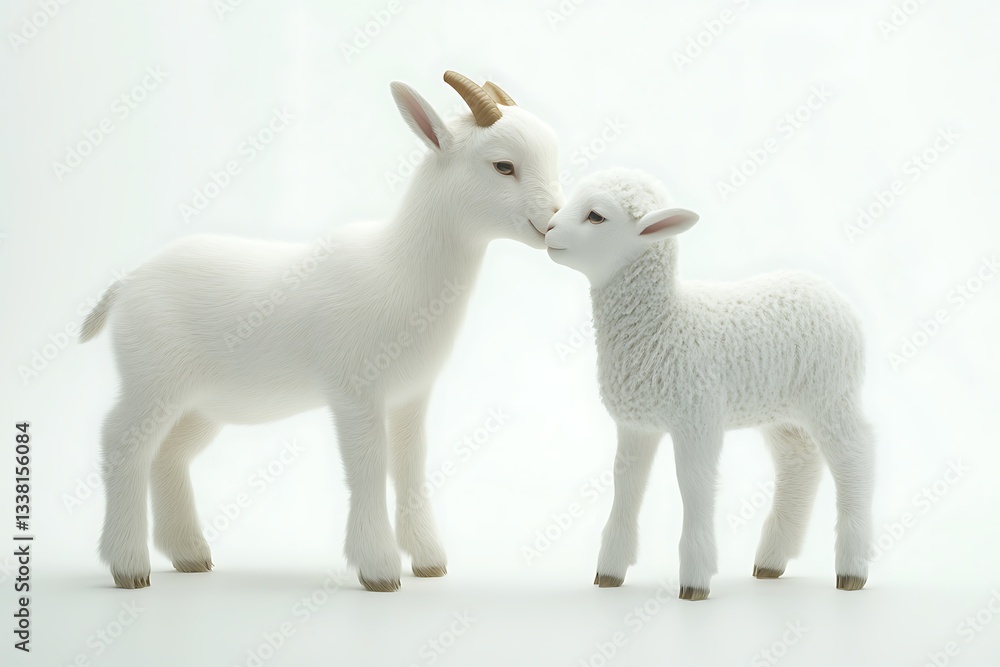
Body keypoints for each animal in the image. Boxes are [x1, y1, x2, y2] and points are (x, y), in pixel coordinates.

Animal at [81, 71, 565, 592]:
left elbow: (410, 467)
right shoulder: (355, 392)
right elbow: (369, 468)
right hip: (151, 380)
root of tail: (126, 285)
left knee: (168, 455)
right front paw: (379, 569)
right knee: (121, 441)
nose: (555, 222)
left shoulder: (410, 395)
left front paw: (428, 560)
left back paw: (189, 554)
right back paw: (129, 565)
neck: (399, 268)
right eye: (503, 165)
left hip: (200, 403)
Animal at [544, 168, 874, 600]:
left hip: (831, 392)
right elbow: (626, 485)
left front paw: (695, 580)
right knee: (799, 462)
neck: (663, 323)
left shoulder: (697, 418)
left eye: (596, 216)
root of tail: (832, 294)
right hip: (782, 410)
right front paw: (610, 572)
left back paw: (853, 569)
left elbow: (694, 486)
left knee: (856, 457)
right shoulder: (635, 424)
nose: (548, 229)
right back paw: (772, 561)